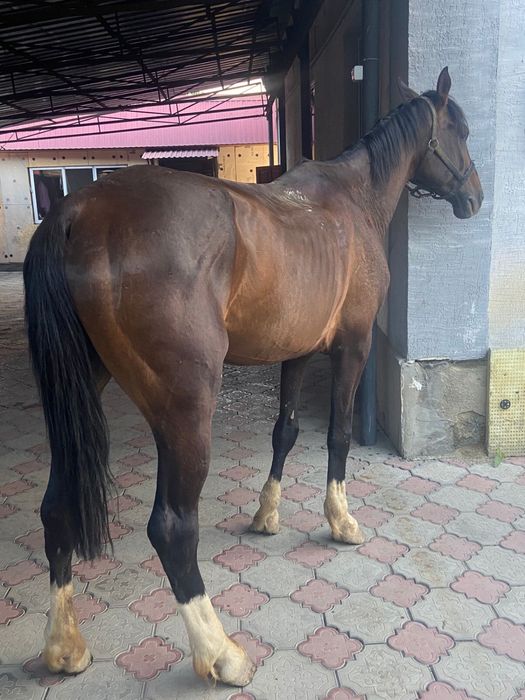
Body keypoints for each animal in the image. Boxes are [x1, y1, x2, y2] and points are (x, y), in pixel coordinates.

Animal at [23, 68, 482, 687]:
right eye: (460, 129)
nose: (475, 197)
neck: (351, 202)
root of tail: (75, 214)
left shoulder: (297, 351)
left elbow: (284, 432)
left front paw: (267, 514)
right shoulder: (352, 346)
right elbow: (338, 435)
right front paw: (341, 520)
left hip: (78, 396)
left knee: (57, 506)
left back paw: (64, 646)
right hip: (185, 411)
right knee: (172, 527)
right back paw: (222, 653)